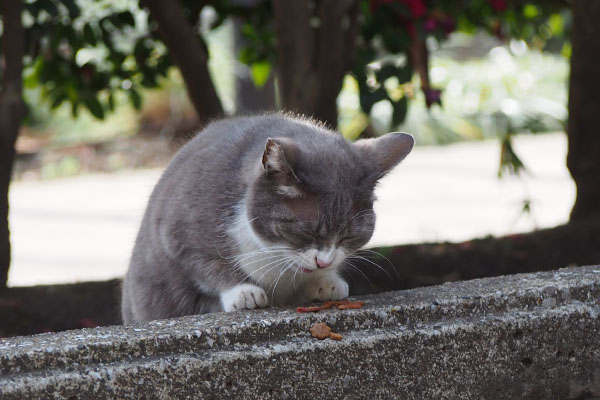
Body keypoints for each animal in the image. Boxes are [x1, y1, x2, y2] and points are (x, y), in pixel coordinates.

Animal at [122, 113, 412, 324]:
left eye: (349, 236)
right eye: (305, 232)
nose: (323, 262)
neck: (274, 254)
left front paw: (325, 281)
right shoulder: (179, 233)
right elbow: (209, 265)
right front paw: (243, 292)